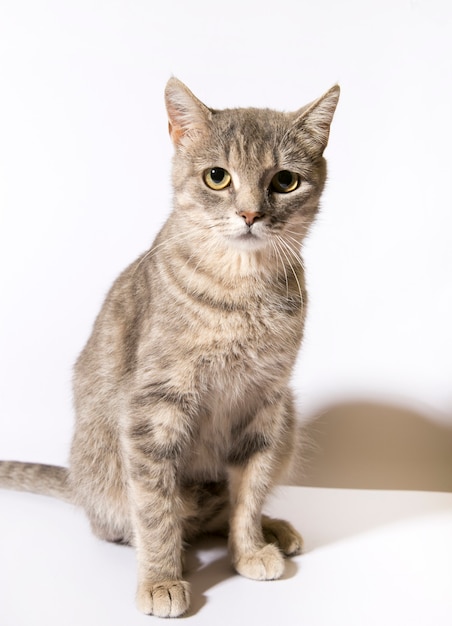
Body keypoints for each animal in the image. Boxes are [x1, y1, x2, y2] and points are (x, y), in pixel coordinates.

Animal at [0, 77, 340, 616]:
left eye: (285, 181)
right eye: (217, 177)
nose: (250, 213)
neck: (241, 292)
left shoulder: (265, 402)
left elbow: (250, 491)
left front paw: (249, 548)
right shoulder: (154, 409)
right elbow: (156, 507)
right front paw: (161, 578)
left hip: (288, 418)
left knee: (222, 510)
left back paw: (273, 530)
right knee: (138, 522)